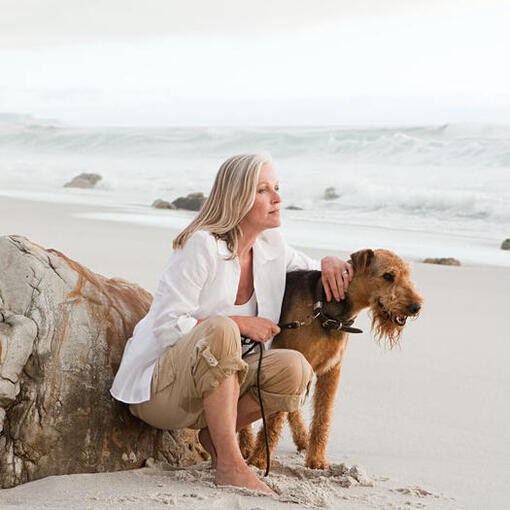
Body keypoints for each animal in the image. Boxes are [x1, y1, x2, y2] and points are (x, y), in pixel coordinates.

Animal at [241, 248, 424, 470]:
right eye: (388, 275)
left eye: (407, 274)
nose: (416, 306)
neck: (326, 313)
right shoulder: (295, 358)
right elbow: (275, 418)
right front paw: (259, 459)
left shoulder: (331, 370)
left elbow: (323, 416)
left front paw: (317, 460)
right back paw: (246, 446)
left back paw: (302, 439)